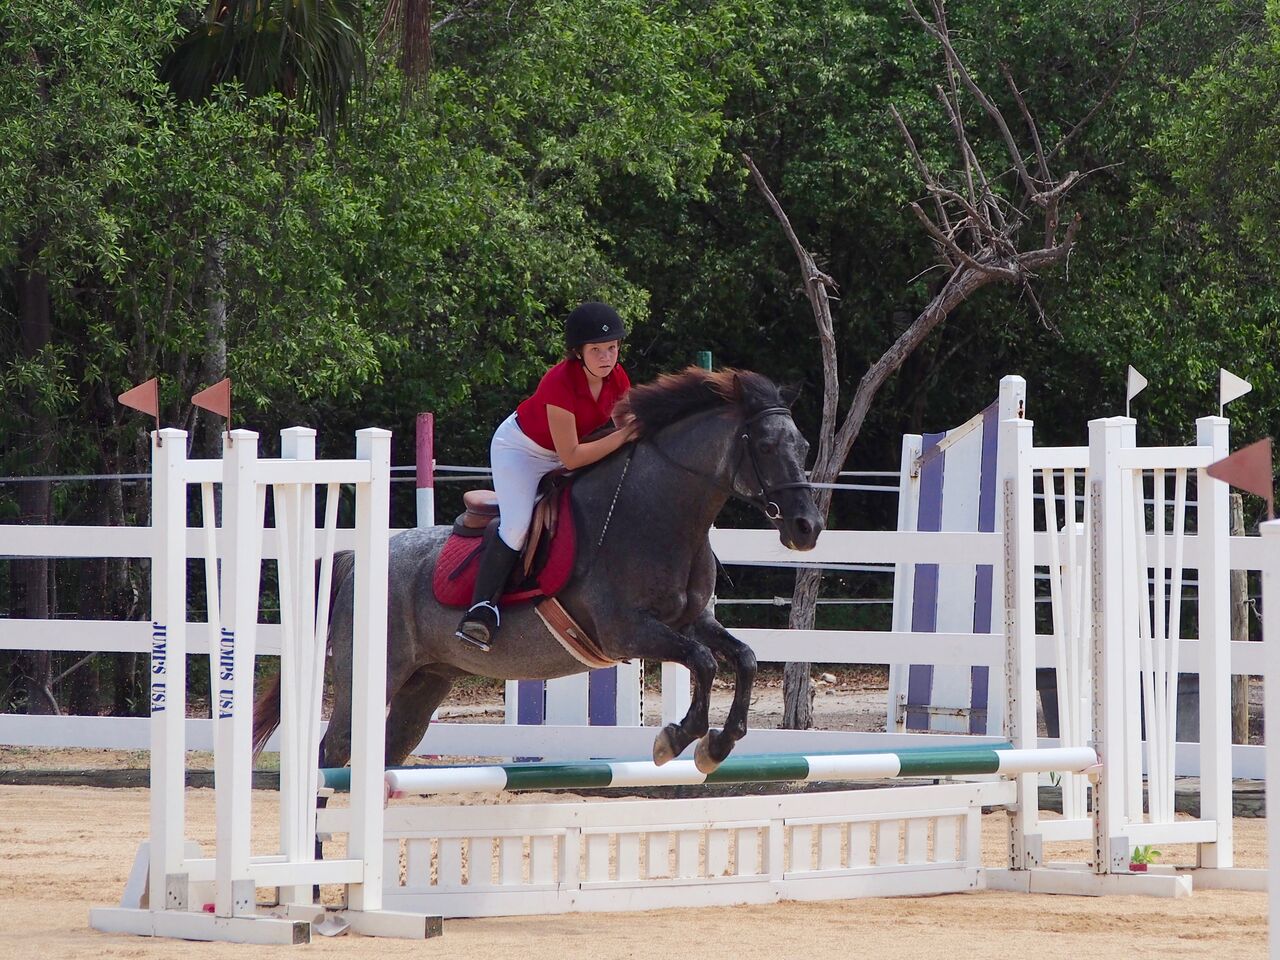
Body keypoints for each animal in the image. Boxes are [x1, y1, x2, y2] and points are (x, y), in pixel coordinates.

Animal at [254, 366, 824, 774]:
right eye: (766, 446)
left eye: (803, 446)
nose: (808, 527)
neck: (661, 513)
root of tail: (354, 561)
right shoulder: (627, 632)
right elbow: (704, 662)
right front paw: (676, 740)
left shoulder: (691, 622)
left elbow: (743, 657)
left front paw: (718, 745)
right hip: (371, 676)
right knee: (334, 752)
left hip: (426, 682)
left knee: (387, 752)